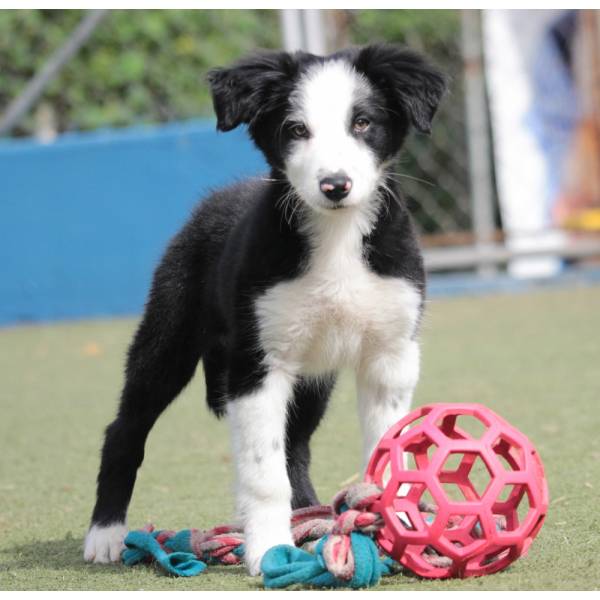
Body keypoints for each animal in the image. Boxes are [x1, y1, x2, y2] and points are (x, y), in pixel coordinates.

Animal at [83, 44, 446, 576]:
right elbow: (262, 470)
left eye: (363, 123)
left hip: (313, 377)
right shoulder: (256, 361)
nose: (335, 185)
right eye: (295, 129)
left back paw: (309, 515)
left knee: (294, 445)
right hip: (169, 334)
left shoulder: (391, 354)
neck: (336, 239)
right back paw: (105, 535)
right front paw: (270, 549)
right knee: (125, 428)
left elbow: (387, 447)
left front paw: (392, 528)